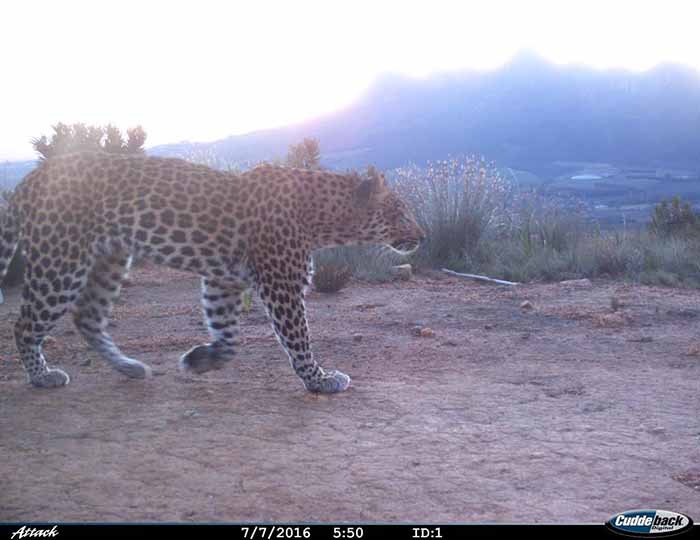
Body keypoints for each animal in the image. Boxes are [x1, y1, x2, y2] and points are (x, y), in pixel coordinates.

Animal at [0, 151, 424, 393]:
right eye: (401, 212)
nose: (422, 236)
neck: (323, 216)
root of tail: (34, 178)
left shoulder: (225, 279)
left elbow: (229, 335)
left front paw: (202, 360)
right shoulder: (281, 283)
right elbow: (299, 338)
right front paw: (320, 380)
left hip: (110, 259)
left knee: (87, 318)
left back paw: (129, 367)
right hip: (61, 261)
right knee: (25, 324)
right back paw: (41, 376)